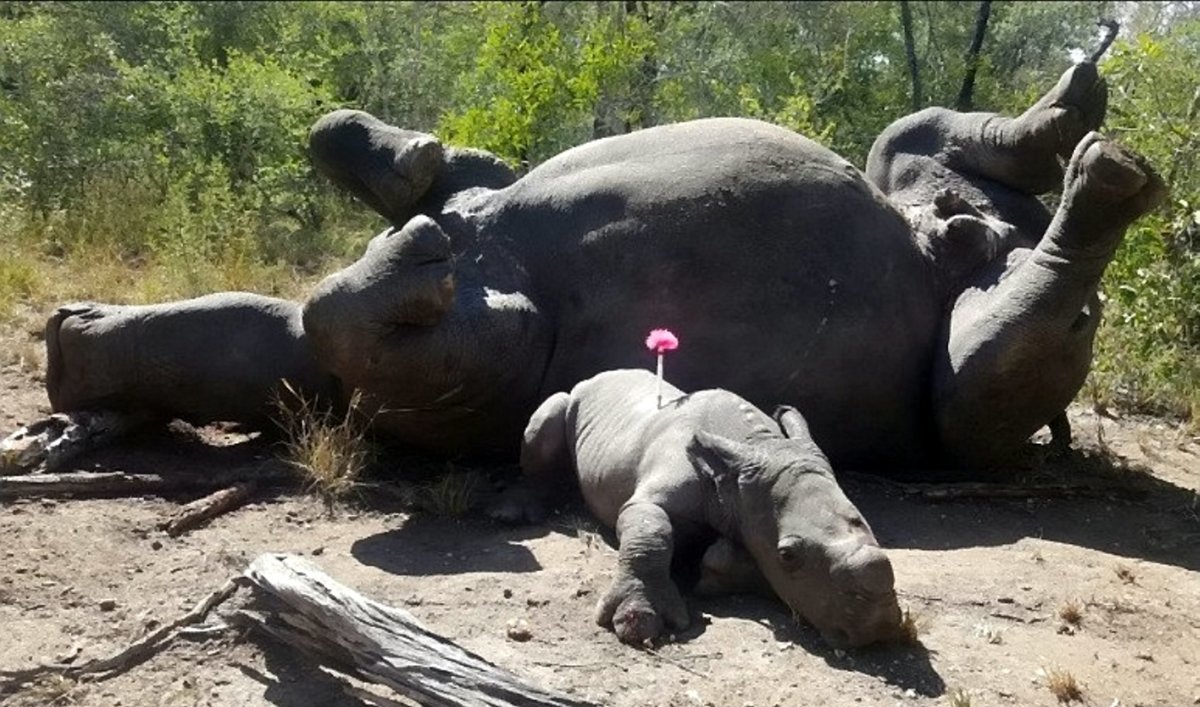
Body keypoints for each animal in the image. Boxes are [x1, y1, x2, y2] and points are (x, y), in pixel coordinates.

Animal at [501, 372, 902, 648]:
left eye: (866, 525)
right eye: (788, 555)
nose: (877, 629)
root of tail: (595, 376)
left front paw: (716, 571)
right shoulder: (653, 495)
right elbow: (652, 529)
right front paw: (638, 623)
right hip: (571, 399)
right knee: (549, 414)